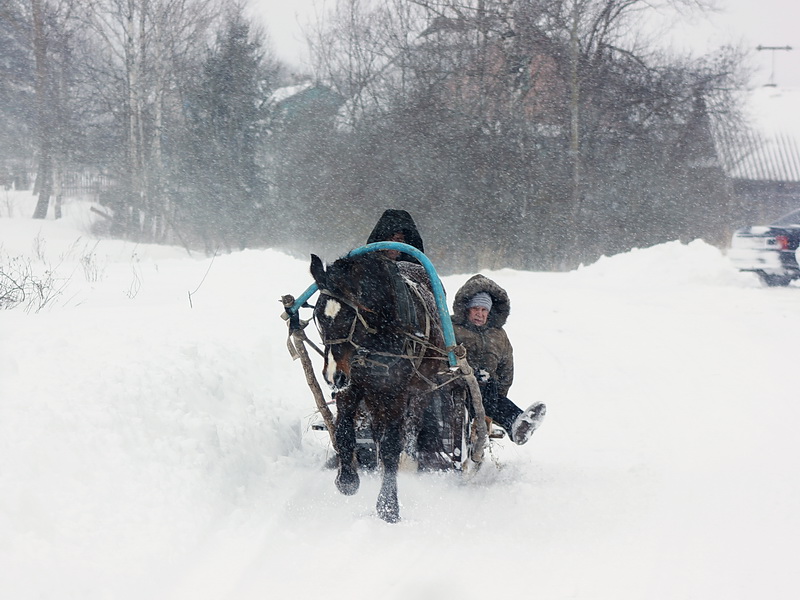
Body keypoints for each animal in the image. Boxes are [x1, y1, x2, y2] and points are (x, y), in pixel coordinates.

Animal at [310, 251, 446, 524]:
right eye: (319, 316)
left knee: (411, 428)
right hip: (374, 396)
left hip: (419, 389)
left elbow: (392, 445)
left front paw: (388, 506)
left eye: (349, 317)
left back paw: (408, 461)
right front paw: (347, 480)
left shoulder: (395, 392)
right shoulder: (352, 386)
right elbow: (344, 432)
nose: (332, 375)